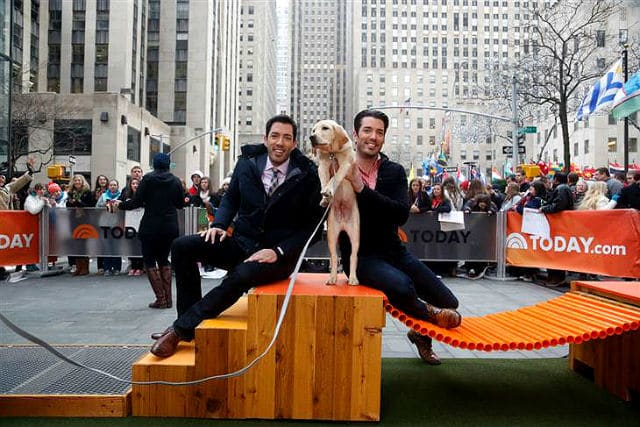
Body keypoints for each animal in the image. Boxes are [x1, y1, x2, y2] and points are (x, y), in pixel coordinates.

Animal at [310, 120, 360, 288]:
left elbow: (335, 177)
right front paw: (325, 196)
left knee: (353, 256)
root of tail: (343, 223)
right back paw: (332, 278)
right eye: (313, 130)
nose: (311, 137)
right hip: (331, 236)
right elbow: (324, 179)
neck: (332, 153)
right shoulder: (323, 165)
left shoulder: (346, 165)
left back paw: (353, 279)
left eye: (325, 128)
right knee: (333, 256)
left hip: (355, 235)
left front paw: (329, 190)